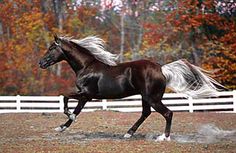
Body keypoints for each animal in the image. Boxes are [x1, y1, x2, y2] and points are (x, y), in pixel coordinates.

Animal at [39, 34, 226, 141]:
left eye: (51, 48)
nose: (41, 63)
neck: (86, 66)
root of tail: (161, 69)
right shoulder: (86, 96)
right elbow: (74, 109)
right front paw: (62, 127)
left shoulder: (86, 94)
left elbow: (65, 97)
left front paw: (66, 119)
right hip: (145, 97)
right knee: (146, 113)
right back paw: (128, 133)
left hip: (152, 98)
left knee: (167, 113)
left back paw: (163, 138)